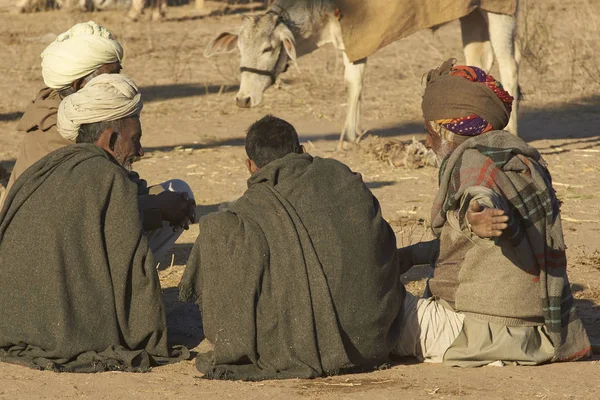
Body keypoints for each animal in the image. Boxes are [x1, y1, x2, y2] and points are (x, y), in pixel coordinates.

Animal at [204, 0, 516, 143]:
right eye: (240, 48)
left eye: (268, 48)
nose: (243, 99)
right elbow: (354, 84)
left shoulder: (356, 40)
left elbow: (353, 83)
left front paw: (348, 136)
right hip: (472, 14)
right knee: (479, 59)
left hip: (502, 13)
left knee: (510, 66)